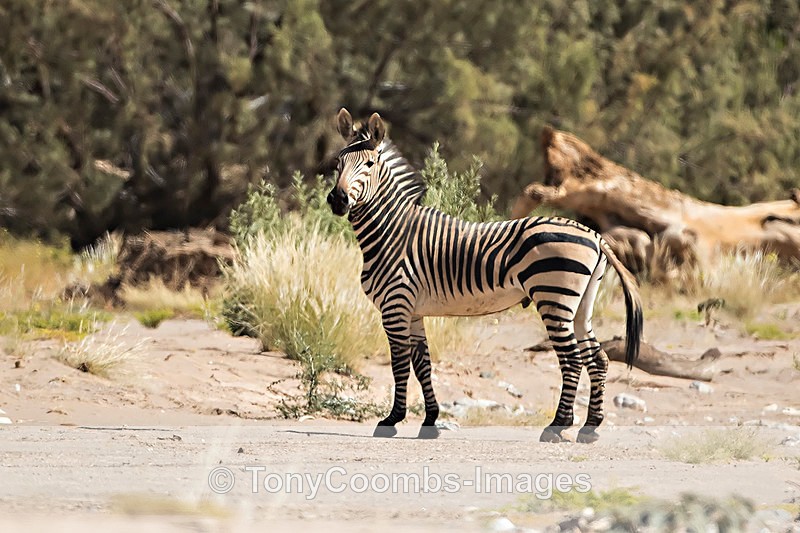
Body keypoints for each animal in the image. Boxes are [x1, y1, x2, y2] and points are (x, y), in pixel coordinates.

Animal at [327, 108, 643, 442]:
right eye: (338, 163)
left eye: (369, 165)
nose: (337, 200)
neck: (392, 231)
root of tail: (594, 235)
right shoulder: (413, 311)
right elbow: (422, 364)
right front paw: (430, 421)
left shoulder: (395, 306)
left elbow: (400, 364)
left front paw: (392, 420)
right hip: (581, 304)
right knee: (597, 358)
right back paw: (590, 427)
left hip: (555, 299)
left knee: (572, 360)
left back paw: (557, 426)